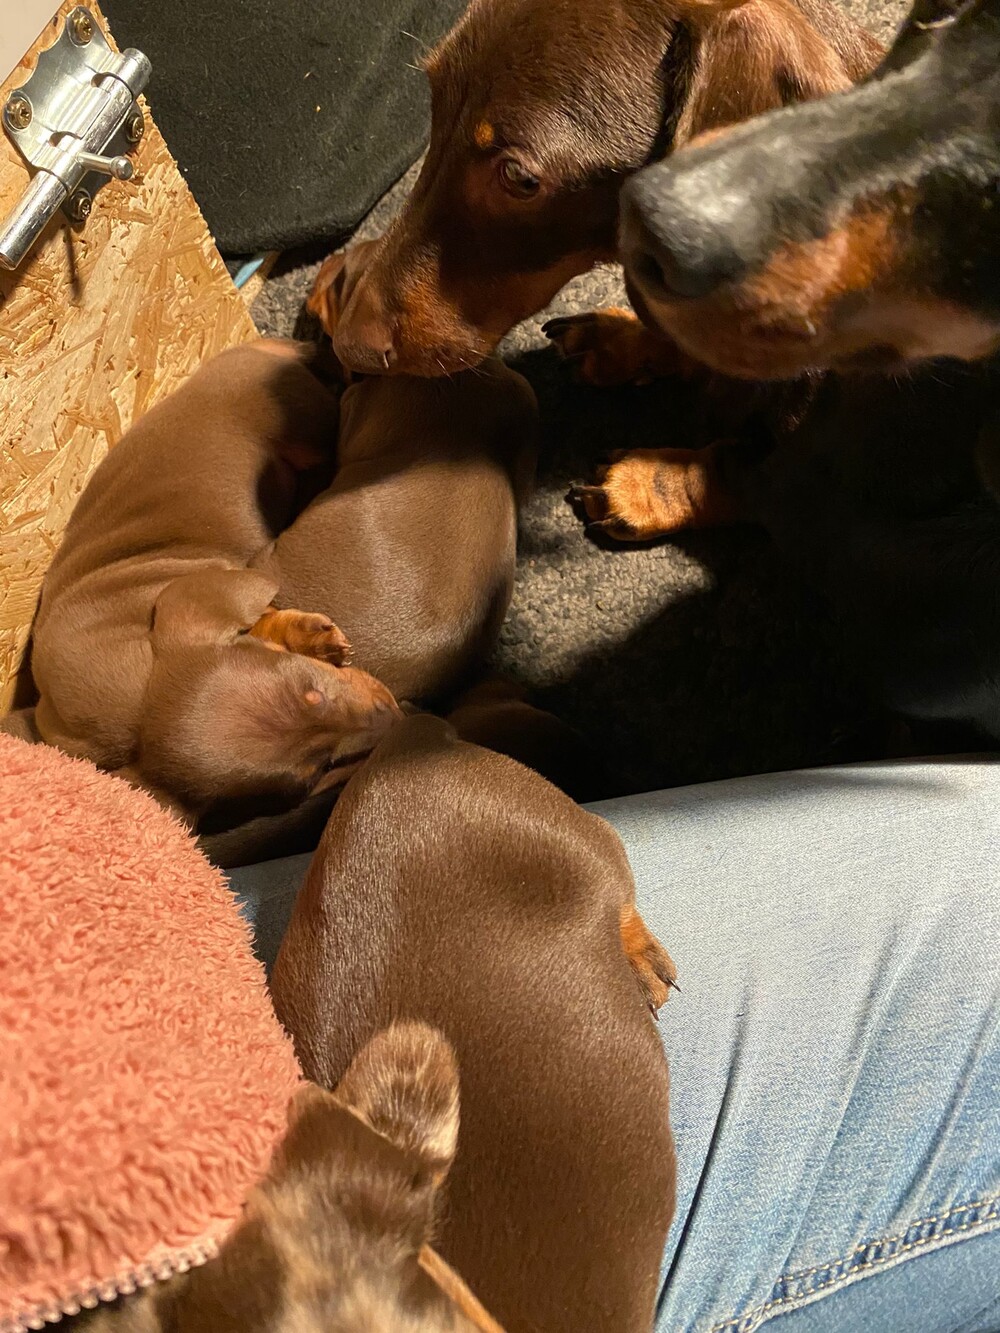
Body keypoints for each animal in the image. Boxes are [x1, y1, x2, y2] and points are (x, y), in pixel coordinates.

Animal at [583, 0, 1000, 739]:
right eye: (935, 13)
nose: (647, 222)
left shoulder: (828, 504)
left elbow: (740, 469)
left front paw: (642, 487)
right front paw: (621, 340)